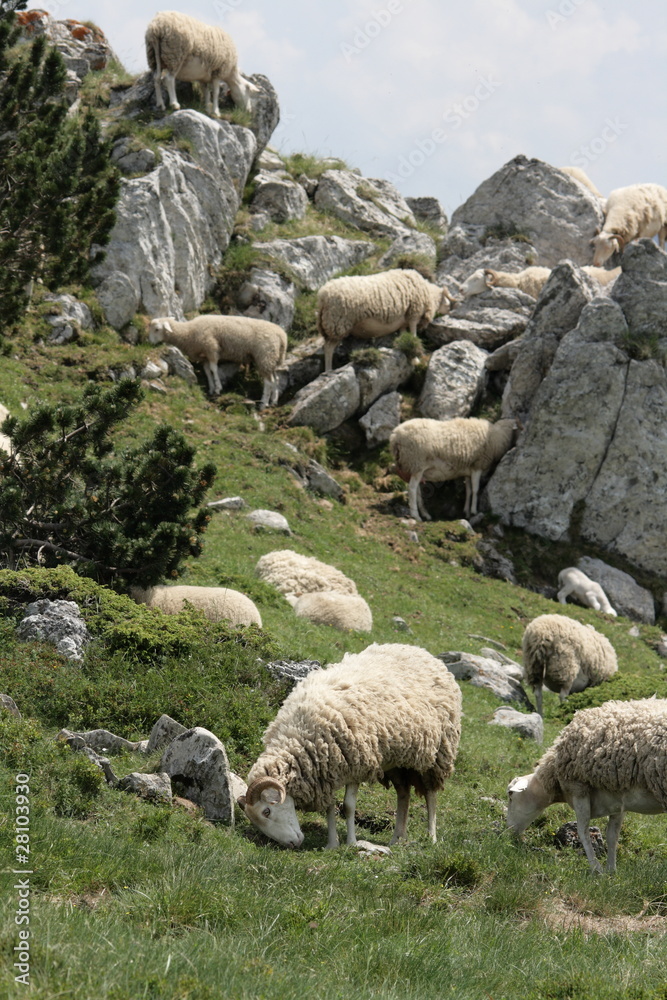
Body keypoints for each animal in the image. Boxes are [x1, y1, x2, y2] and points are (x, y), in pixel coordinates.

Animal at [148, 315, 287, 407]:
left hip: (264, 357)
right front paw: (211, 388)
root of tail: (282, 336)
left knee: (268, 382)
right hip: (273, 359)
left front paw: (218, 388)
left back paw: (264, 403)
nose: (149, 343)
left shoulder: (211, 347)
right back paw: (274, 401)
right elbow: (207, 371)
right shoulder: (204, 356)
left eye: (157, 329)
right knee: (276, 379)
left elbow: (214, 369)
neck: (189, 331)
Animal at [238, 642, 462, 848]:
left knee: (431, 795)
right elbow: (329, 808)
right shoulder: (327, 772)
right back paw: (397, 838)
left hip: (438, 753)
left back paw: (431, 837)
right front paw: (332, 844)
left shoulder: (356, 764)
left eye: (267, 811)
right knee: (403, 794)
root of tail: (421, 651)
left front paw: (352, 843)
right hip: (397, 761)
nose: (293, 844)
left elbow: (347, 807)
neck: (299, 732)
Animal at [316, 269, 457, 372]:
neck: (429, 294)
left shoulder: (403, 322)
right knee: (328, 348)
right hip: (338, 324)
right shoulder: (413, 314)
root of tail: (322, 296)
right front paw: (416, 359)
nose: (451, 311)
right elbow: (414, 335)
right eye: (447, 301)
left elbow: (404, 336)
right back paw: (328, 370)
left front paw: (406, 351)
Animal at [389, 416, 518, 522]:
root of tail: (395, 436)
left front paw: (466, 511)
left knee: (417, 490)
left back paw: (425, 514)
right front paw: (474, 511)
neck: (497, 436)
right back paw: (416, 516)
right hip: (417, 464)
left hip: (413, 467)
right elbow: (475, 489)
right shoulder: (477, 466)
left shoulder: (468, 470)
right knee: (412, 489)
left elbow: (469, 490)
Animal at [506, 698, 667, 872]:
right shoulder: (617, 796)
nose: (507, 832)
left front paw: (596, 869)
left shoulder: (578, 789)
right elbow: (612, 835)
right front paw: (611, 870)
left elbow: (583, 832)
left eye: (510, 795)